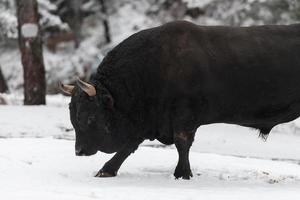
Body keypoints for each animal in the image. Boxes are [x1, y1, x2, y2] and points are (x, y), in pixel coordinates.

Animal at [62, 21, 300, 179]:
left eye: (89, 117)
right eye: (73, 116)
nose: (79, 151)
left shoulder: (184, 117)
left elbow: (182, 143)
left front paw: (183, 173)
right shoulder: (148, 121)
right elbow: (129, 146)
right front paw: (107, 169)